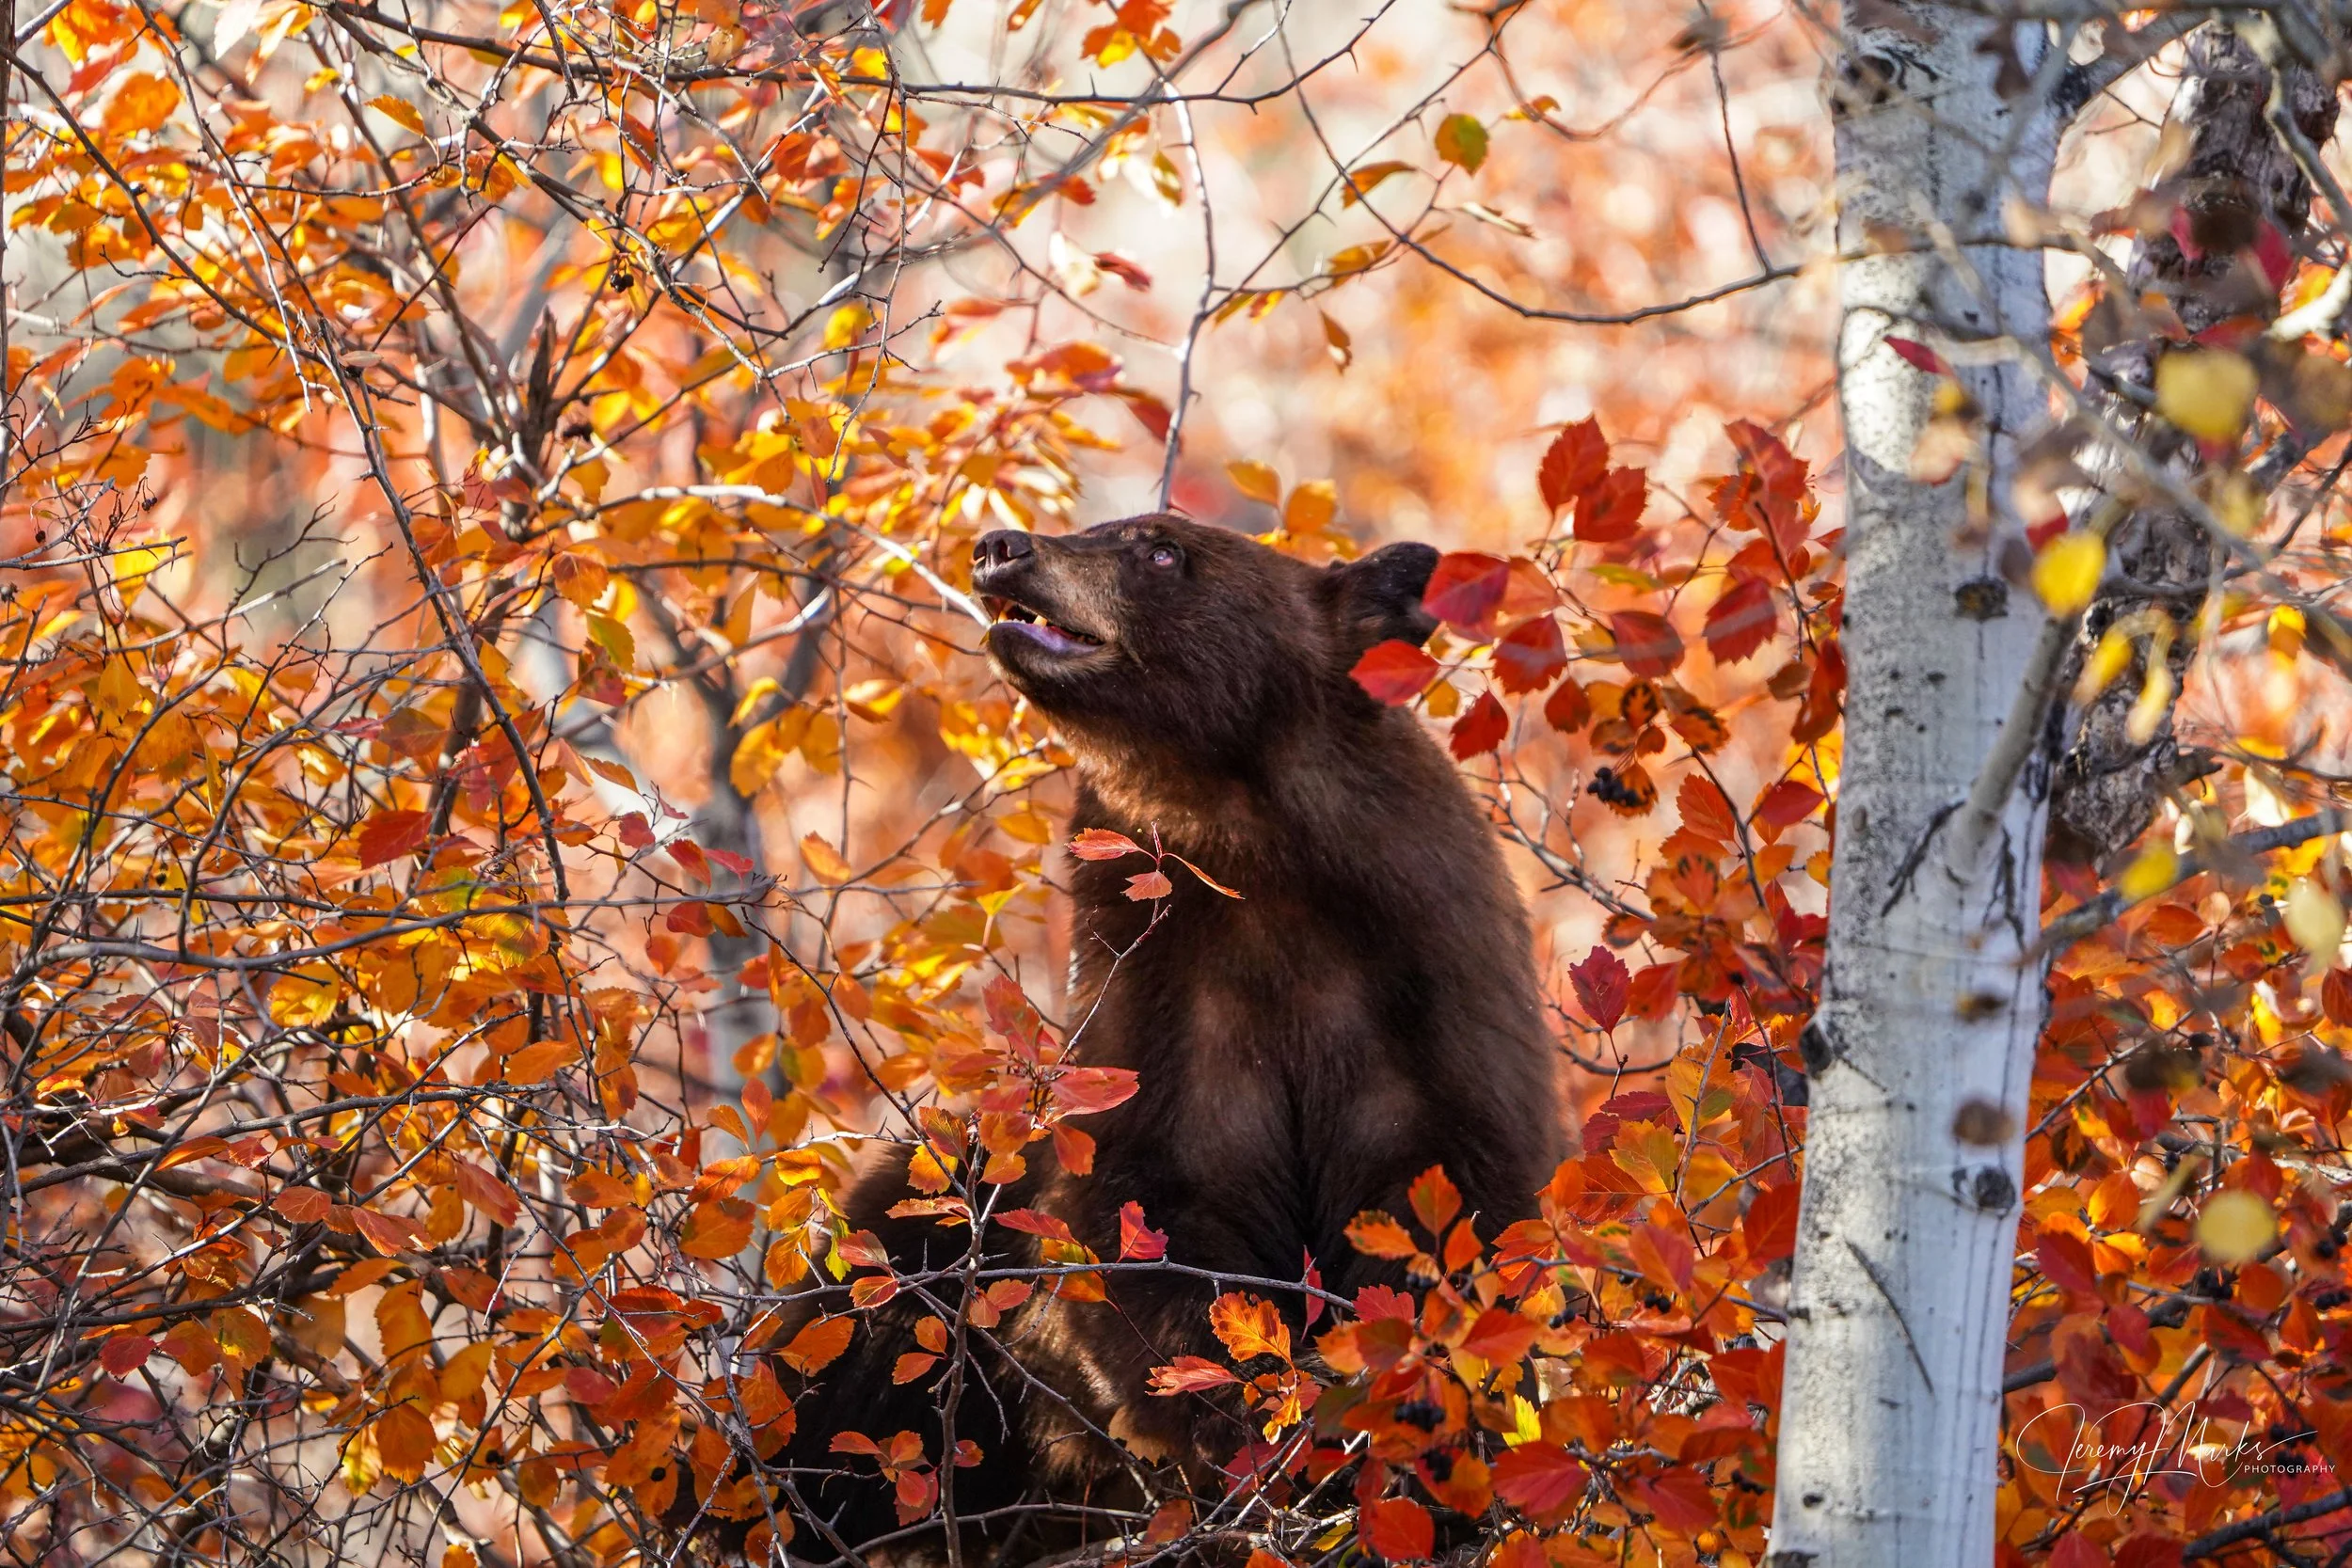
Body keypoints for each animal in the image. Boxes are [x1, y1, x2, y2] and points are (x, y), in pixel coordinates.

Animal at [756, 514, 1565, 1564]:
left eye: (1161, 548)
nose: (999, 545)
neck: (1250, 848)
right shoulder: (1162, 994)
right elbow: (1148, 1202)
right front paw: (1238, 1423)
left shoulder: (1429, 982)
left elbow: (1450, 1202)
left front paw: (1406, 1427)